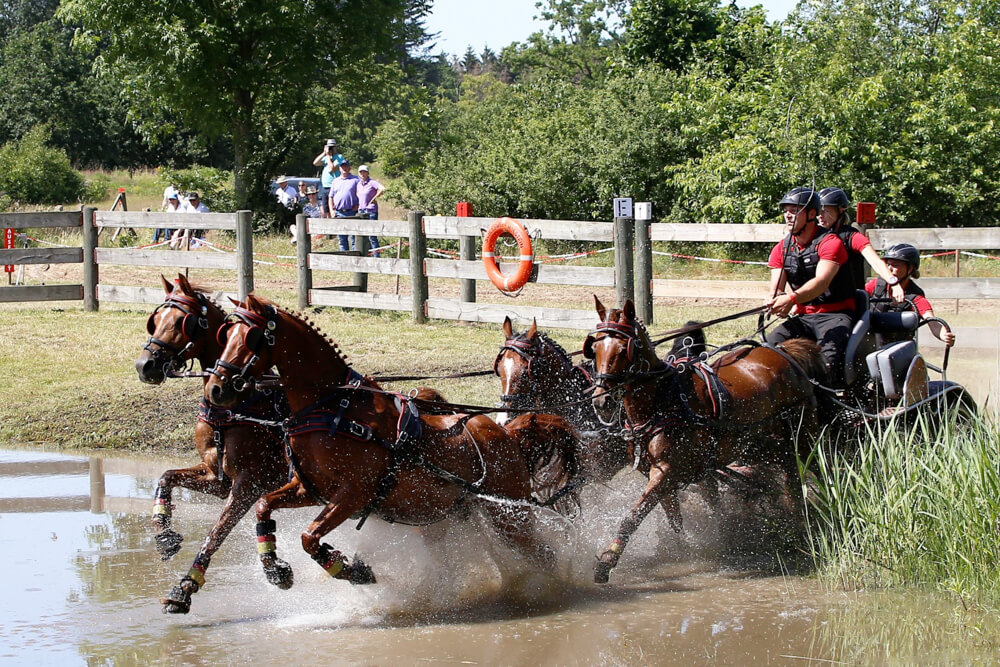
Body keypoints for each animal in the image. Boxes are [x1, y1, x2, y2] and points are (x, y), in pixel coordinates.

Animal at [135, 274, 290, 612]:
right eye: (155, 321)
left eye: (181, 322)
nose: (144, 365)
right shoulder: (217, 478)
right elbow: (166, 477)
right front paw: (164, 536)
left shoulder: (248, 484)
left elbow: (216, 532)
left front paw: (185, 588)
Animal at [204, 294, 560, 592]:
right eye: (226, 334)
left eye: (250, 337)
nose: (215, 389)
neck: (332, 408)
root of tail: (508, 435)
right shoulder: (310, 488)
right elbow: (264, 505)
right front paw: (275, 569)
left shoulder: (353, 494)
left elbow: (308, 537)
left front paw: (350, 569)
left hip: (510, 515)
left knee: (545, 556)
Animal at [584, 298, 824, 584]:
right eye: (594, 348)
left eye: (624, 349)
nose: (602, 401)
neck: (663, 400)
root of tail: (785, 353)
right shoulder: (663, 478)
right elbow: (674, 518)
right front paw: (683, 551)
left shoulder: (666, 472)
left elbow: (633, 515)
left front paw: (607, 560)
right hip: (760, 446)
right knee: (786, 480)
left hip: (804, 439)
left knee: (815, 474)